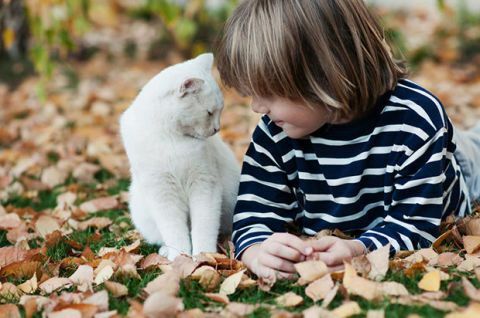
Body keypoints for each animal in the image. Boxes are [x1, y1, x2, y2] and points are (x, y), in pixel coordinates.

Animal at [120, 52, 240, 260]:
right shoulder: (162, 192)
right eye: (209, 113)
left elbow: (204, 225)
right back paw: (166, 251)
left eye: (220, 111)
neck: (172, 139)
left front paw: (203, 256)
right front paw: (180, 258)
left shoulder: (204, 184)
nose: (217, 129)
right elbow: (174, 230)